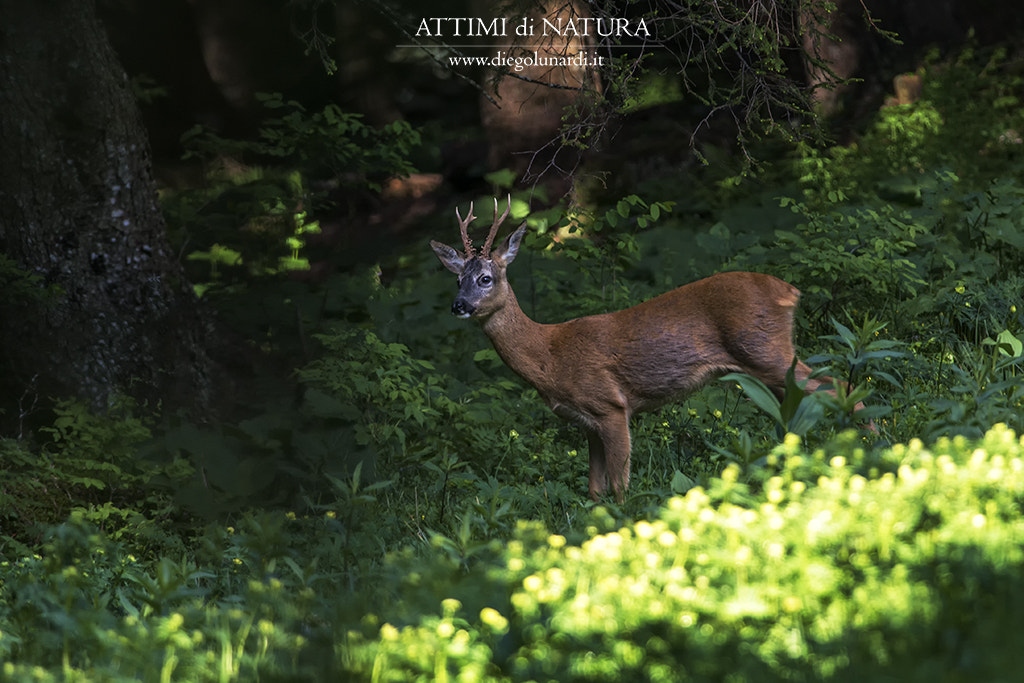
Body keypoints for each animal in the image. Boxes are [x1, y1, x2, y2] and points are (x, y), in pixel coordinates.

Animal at [432, 197, 856, 501]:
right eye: (457, 280)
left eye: (486, 278)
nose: (458, 305)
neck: (549, 356)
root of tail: (790, 291)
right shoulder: (587, 422)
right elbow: (594, 491)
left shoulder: (611, 405)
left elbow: (621, 488)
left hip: (767, 351)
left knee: (838, 386)